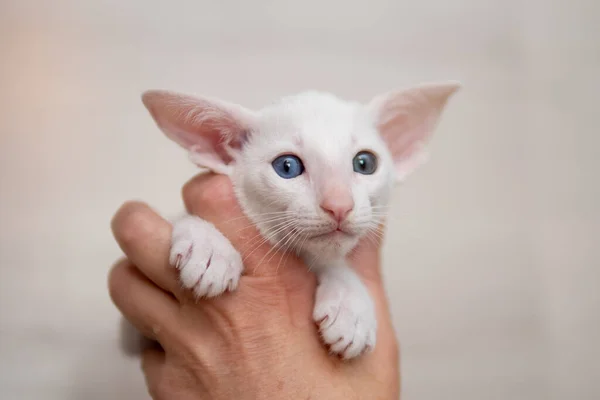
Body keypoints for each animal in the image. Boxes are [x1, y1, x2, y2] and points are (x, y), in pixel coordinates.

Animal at [141, 82, 460, 360]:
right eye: (287, 167)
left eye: (364, 163)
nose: (339, 206)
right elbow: (180, 217)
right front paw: (209, 247)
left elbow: (333, 263)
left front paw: (350, 304)